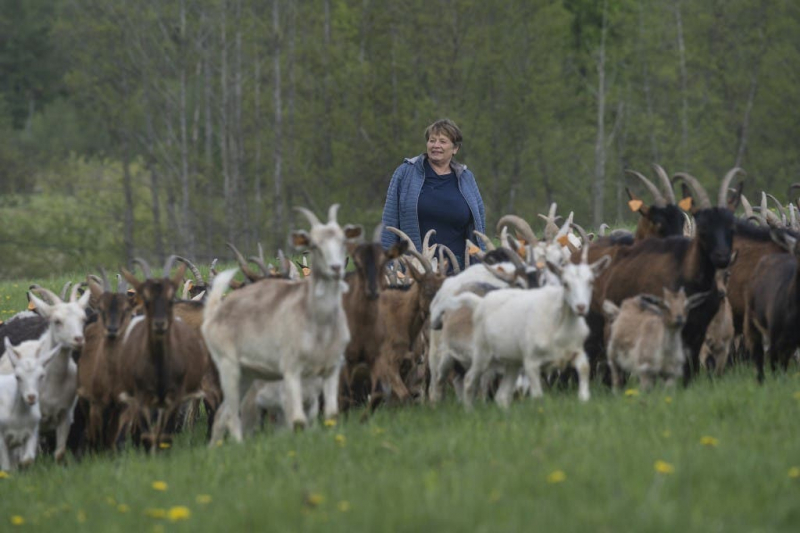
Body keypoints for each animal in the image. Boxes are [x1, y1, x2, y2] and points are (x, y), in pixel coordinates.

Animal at [0, 336, 60, 470]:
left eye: (41, 375)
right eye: (18, 377)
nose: (31, 397)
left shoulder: (32, 432)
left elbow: (28, 459)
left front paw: (22, 466)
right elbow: (5, 467)